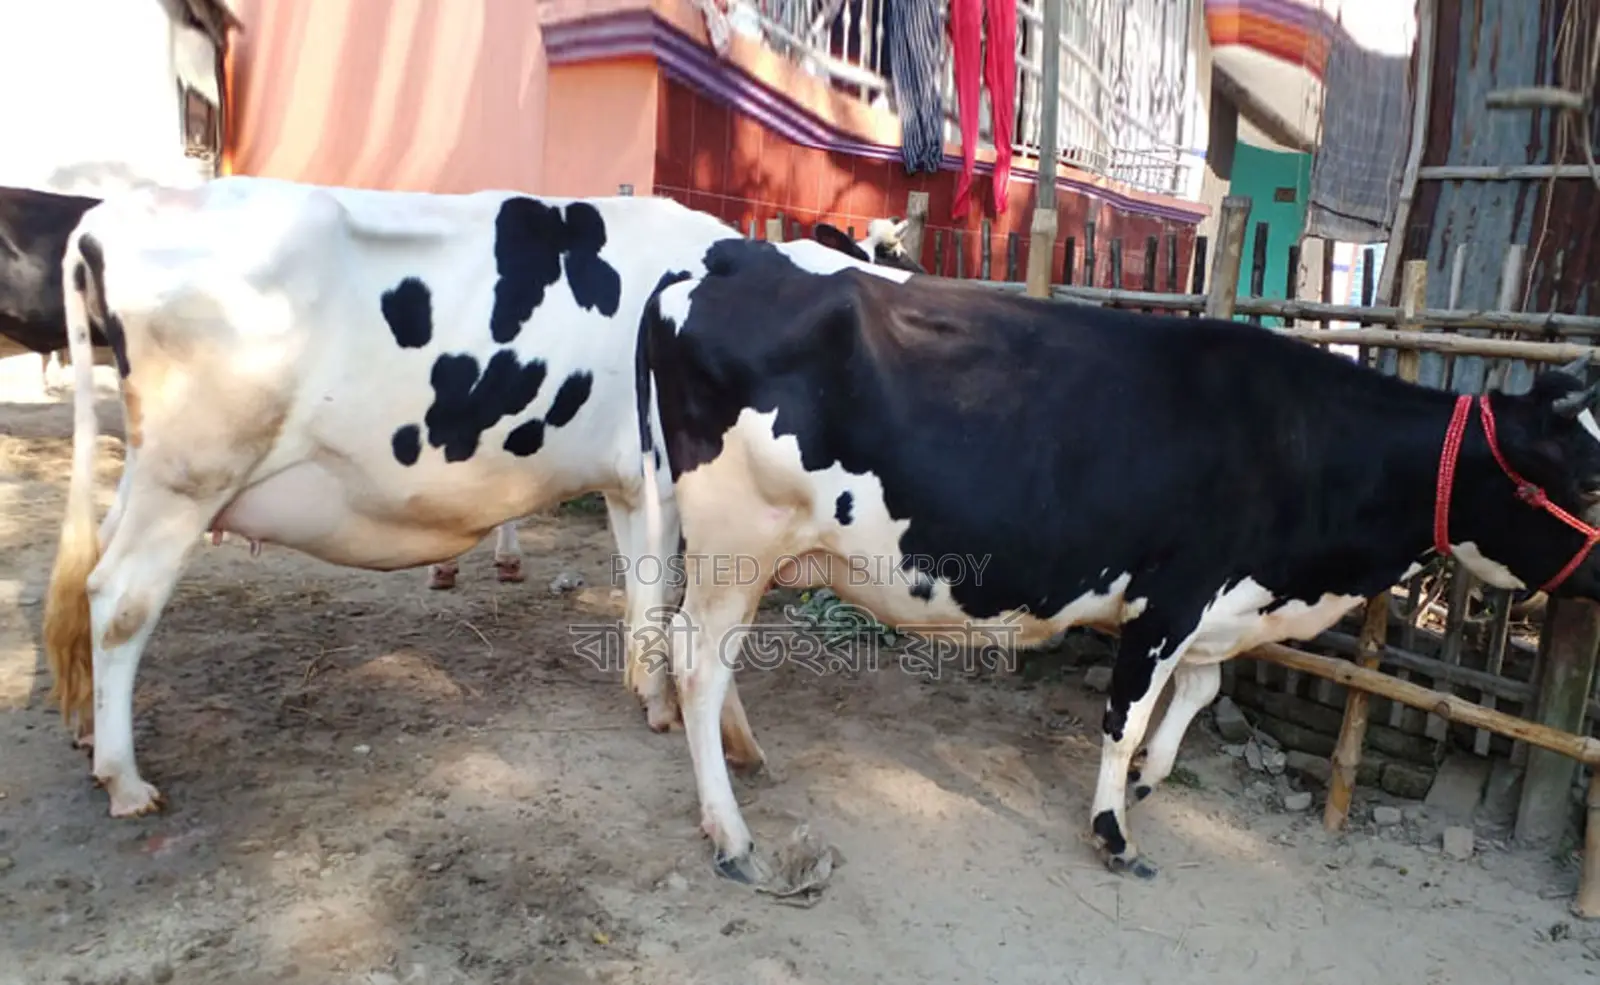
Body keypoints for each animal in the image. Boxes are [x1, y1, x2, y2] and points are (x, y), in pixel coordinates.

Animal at [39, 176, 915, 817]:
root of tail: (111, 215)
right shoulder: (668, 481)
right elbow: (666, 603)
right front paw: (675, 708)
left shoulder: (632, 486)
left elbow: (642, 600)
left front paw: (651, 697)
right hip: (190, 473)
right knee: (119, 598)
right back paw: (124, 777)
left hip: (151, 474)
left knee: (92, 575)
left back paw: (84, 732)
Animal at [634, 237, 1600, 884]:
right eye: (1588, 478)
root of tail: (719, 260)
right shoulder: (1171, 596)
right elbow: (1125, 716)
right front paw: (1115, 829)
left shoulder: (1217, 605)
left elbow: (1201, 692)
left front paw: (1151, 778)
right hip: (737, 539)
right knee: (697, 663)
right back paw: (731, 833)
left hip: (726, 546)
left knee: (700, 656)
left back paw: (746, 754)